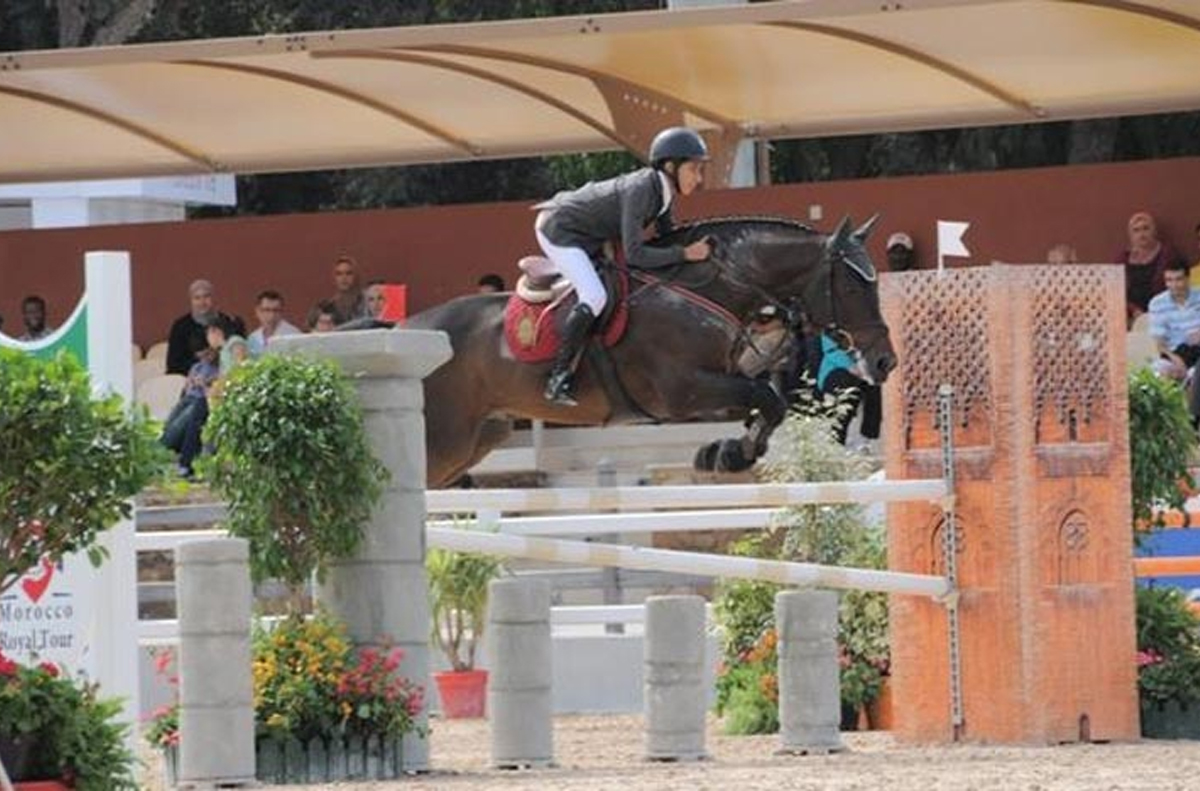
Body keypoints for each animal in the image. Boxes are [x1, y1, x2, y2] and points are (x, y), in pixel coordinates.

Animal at [408, 214, 897, 489]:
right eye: (853, 286)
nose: (884, 361)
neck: (712, 287)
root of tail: (409, 328)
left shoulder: (727, 376)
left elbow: (768, 399)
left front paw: (727, 451)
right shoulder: (682, 392)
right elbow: (767, 398)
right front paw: (733, 453)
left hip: (478, 438)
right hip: (444, 440)